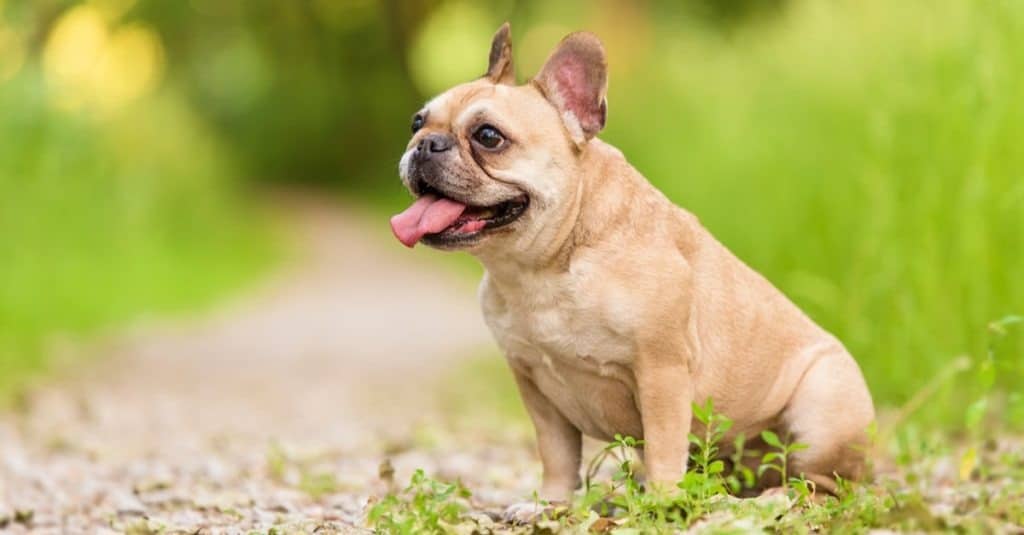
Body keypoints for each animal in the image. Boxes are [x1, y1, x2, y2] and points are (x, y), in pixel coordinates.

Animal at [389, 21, 872, 516]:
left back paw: (770, 499)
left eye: (488, 137)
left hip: (821, 410)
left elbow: (662, 446)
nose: (425, 144)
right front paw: (550, 504)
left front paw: (662, 503)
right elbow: (556, 454)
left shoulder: (661, 371)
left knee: (824, 484)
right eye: (416, 123)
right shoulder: (535, 387)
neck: (542, 268)